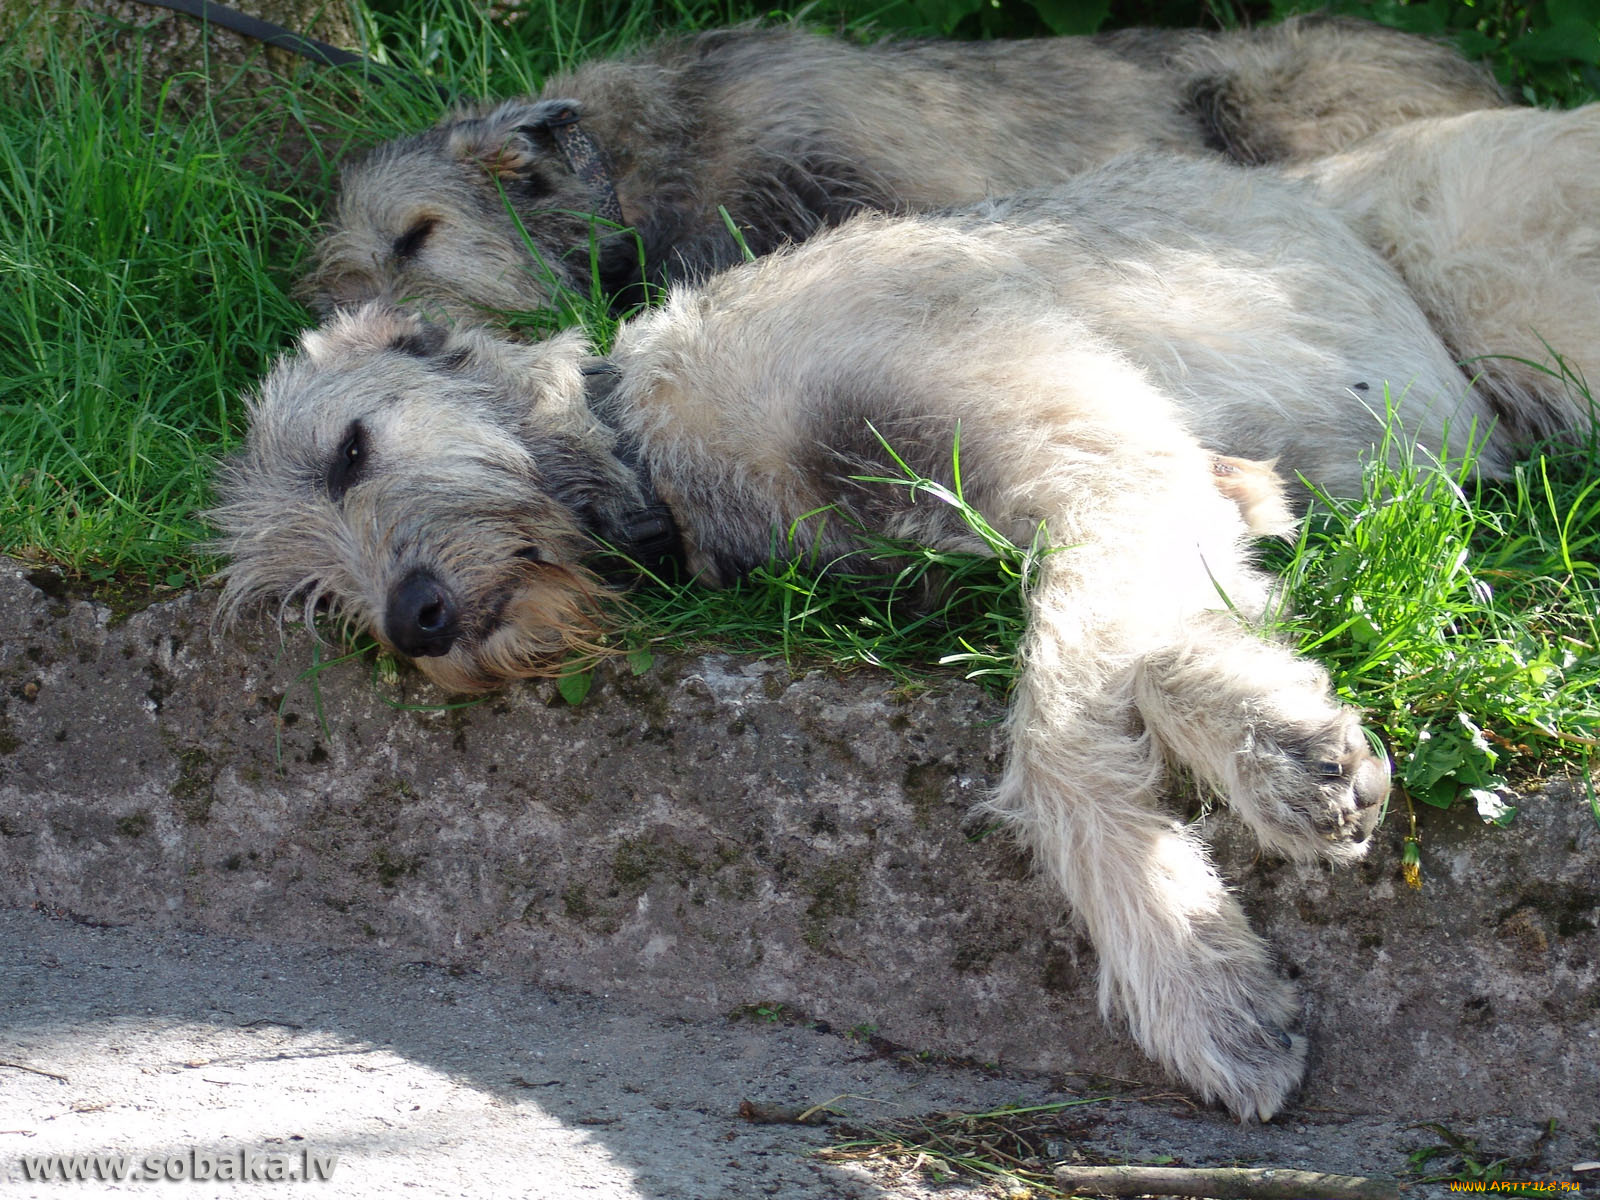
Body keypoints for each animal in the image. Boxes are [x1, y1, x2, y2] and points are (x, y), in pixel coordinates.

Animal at [212, 155, 1587, 1126]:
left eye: (351, 450)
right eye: (315, 596)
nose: (414, 620)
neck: (656, 446)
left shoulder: (1082, 446)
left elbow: (1055, 715)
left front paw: (1195, 973)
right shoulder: (1164, 486)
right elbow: (1128, 645)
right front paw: (1270, 748)